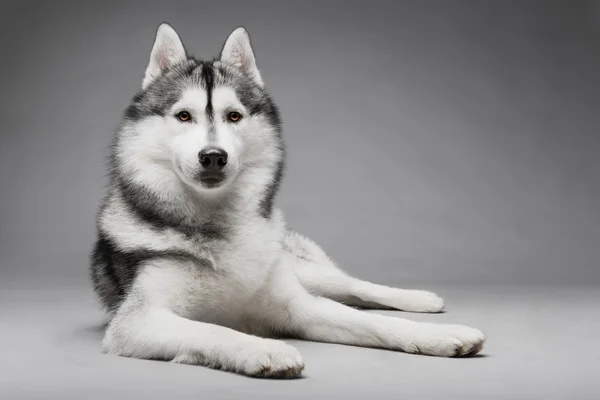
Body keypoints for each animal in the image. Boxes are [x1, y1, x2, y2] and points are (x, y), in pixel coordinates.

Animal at [91, 23, 488, 376]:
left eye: (233, 116)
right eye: (184, 116)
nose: (214, 156)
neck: (218, 221)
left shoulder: (296, 305)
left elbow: (372, 323)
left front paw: (438, 336)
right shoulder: (139, 322)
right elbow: (215, 329)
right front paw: (264, 349)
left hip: (304, 271)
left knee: (353, 287)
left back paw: (421, 300)